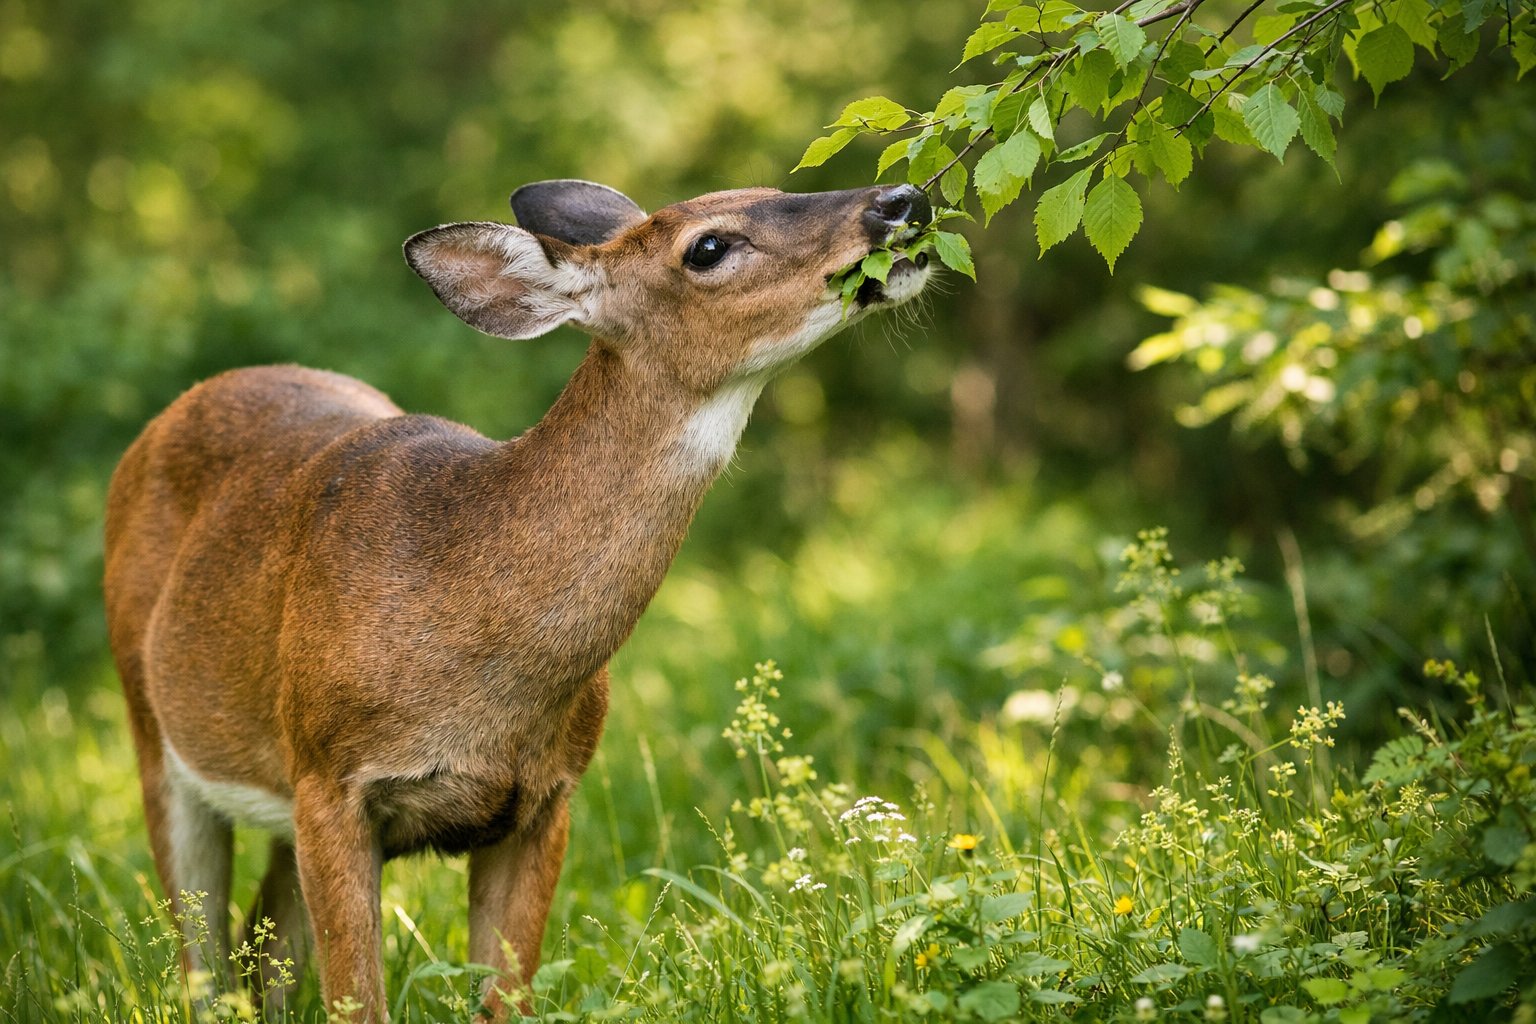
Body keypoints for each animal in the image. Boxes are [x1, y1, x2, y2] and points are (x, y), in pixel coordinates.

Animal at [103, 178, 933, 1020]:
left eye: (774, 185)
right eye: (708, 246)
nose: (901, 199)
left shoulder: (547, 798)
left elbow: (506, 998)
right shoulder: (328, 778)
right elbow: (359, 1000)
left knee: (261, 947)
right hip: (155, 730)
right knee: (202, 963)